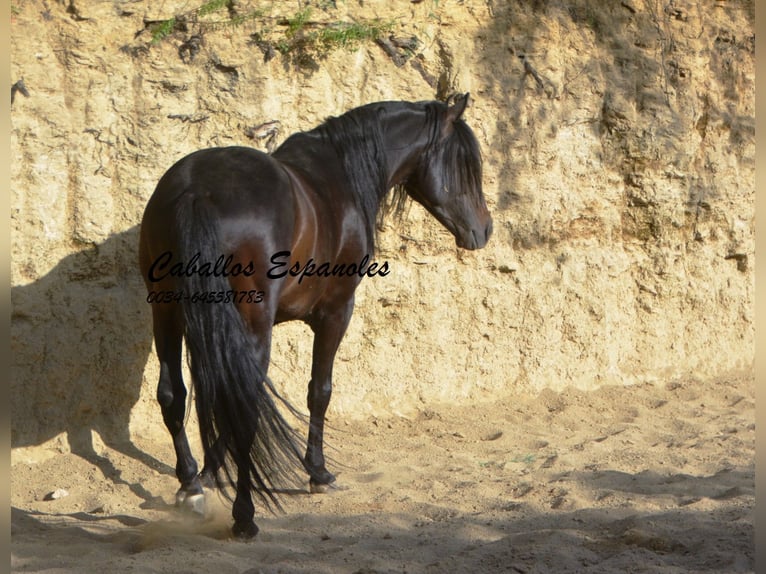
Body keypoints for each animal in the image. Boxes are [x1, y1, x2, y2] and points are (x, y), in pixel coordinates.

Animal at [140, 94, 492, 540]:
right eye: (466, 165)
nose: (485, 229)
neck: (338, 174)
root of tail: (195, 191)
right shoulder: (336, 312)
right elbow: (319, 391)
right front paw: (318, 472)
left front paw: (209, 469)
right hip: (250, 322)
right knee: (243, 404)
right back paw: (244, 516)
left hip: (166, 313)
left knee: (173, 394)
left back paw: (190, 487)